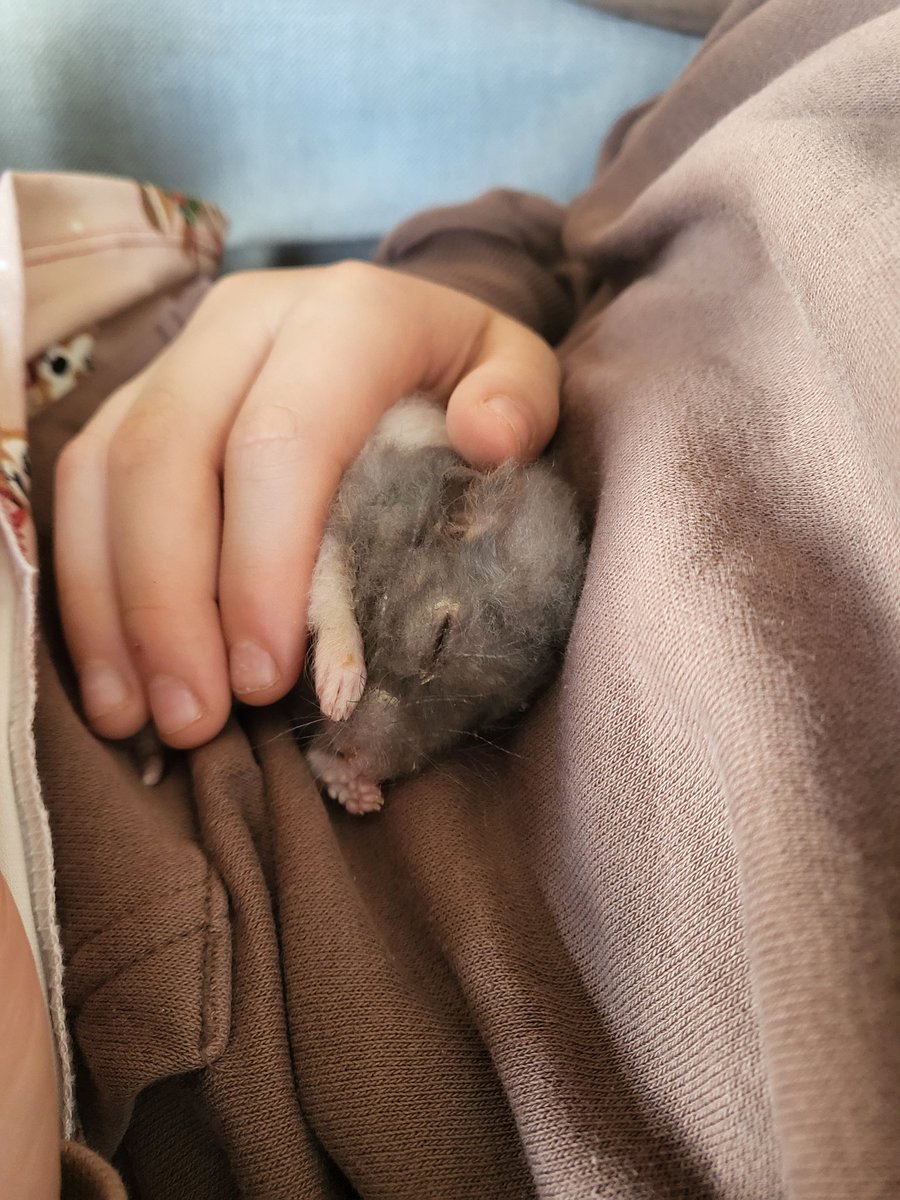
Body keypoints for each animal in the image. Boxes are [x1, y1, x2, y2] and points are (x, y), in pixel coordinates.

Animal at [305, 395, 586, 814]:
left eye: (488, 716)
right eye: (439, 638)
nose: (356, 761)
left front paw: (350, 782)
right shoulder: (353, 499)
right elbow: (329, 578)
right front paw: (340, 687)